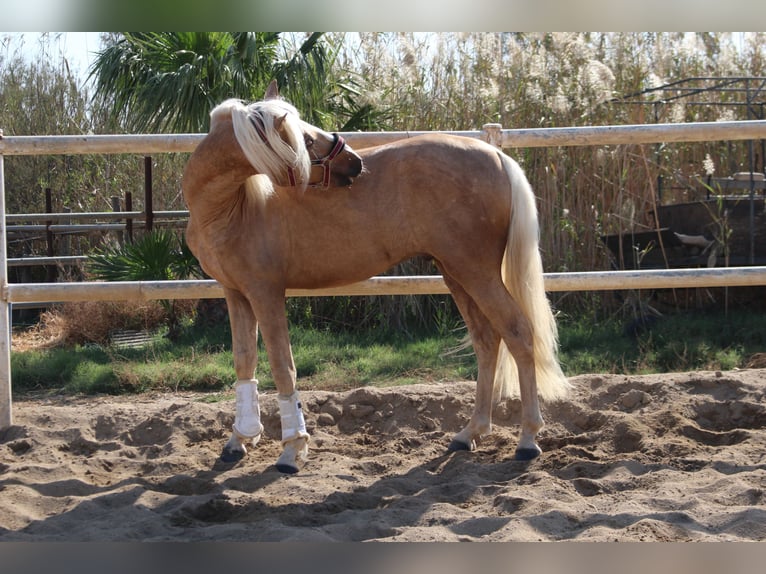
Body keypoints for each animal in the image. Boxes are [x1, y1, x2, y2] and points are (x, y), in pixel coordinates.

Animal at [184, 82, 568, 476]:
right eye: (305, 139)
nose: (355, 162)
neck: (233, 206)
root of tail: (496, 155)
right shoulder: (236, 293)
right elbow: (244, 361)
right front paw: (240, 439)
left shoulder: (267, 293)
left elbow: (282, 367)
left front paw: (293, 450)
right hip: (456, 274)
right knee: (488, 342)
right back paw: (469, 433)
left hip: (477, 273)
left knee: (519, 333)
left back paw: (527, 438)